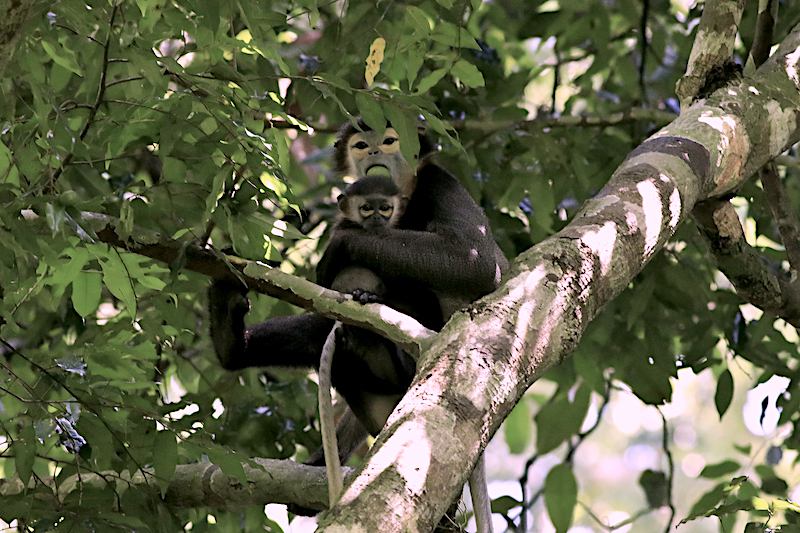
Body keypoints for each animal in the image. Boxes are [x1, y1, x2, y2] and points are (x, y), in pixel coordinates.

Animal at [206, 119, 506, 528]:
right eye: (362, 145)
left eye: (391, 140)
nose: (376, 152)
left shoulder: (439, 181)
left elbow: (478, 265)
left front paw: (343, 244)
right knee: (323, 335)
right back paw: (230, 340)